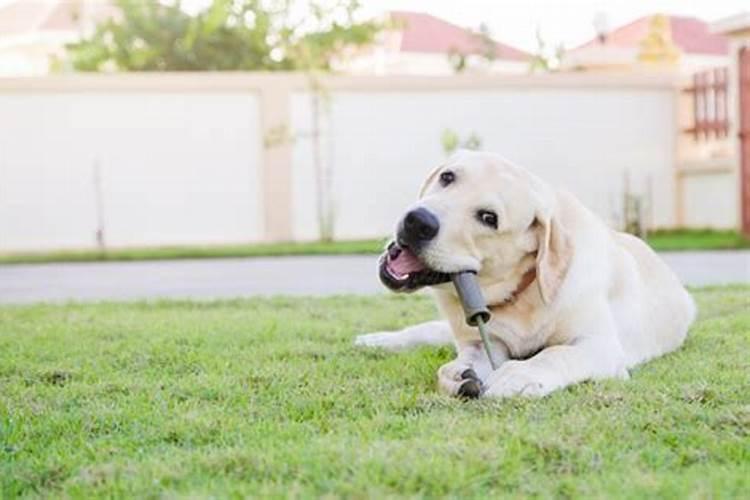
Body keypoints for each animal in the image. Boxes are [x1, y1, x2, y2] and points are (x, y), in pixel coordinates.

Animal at [358, 150, 700, 400]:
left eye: (488, 218)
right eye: (447, 177)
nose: (417, 221)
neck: (522, 294)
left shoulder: (601, 346)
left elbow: (556, 354)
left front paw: (520, 373)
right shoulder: (484, 342)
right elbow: (460, 362)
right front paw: (458, 374)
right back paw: (377, 340)